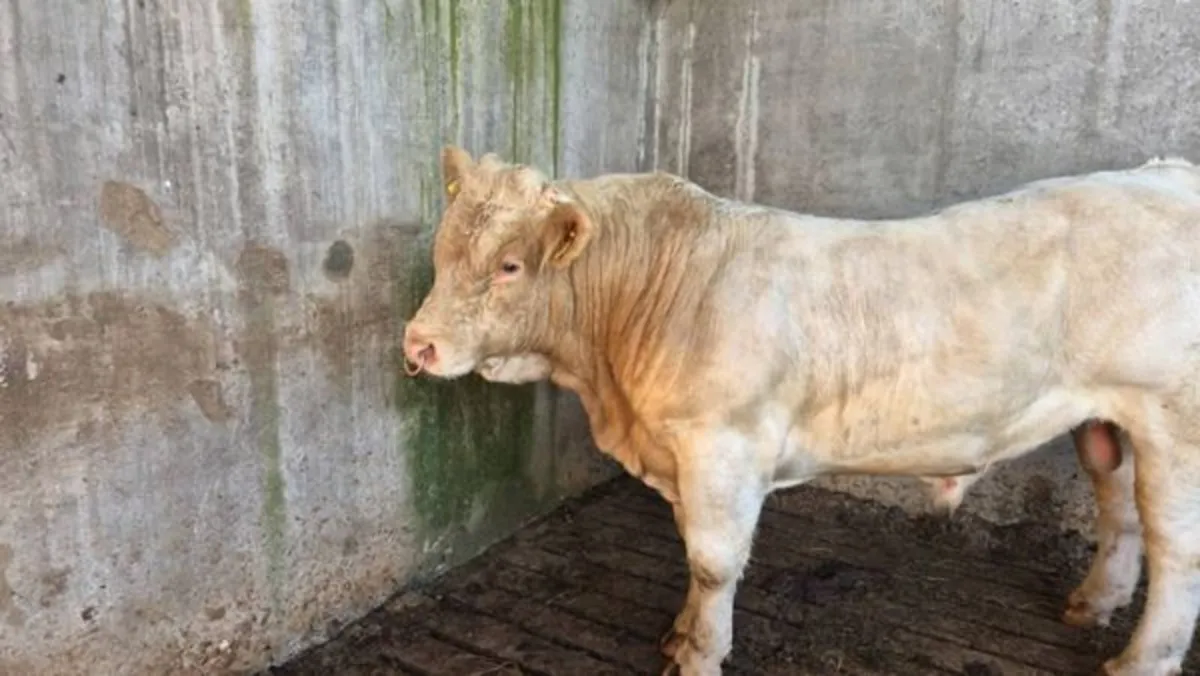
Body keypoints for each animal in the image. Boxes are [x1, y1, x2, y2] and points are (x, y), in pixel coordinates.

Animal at [403, 146, 1200, 676]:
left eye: (510, 266)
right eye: (440, 253)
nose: (419, 344)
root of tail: (1166, 171)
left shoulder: (723, 446)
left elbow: (713, 561)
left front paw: (698, 654)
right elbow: (694, 555)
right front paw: (682, 634)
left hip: (1173, 421)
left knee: (1175, 548)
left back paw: (1139, 661)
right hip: (1106, 418)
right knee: (1118, 510)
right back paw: (1092, 603)